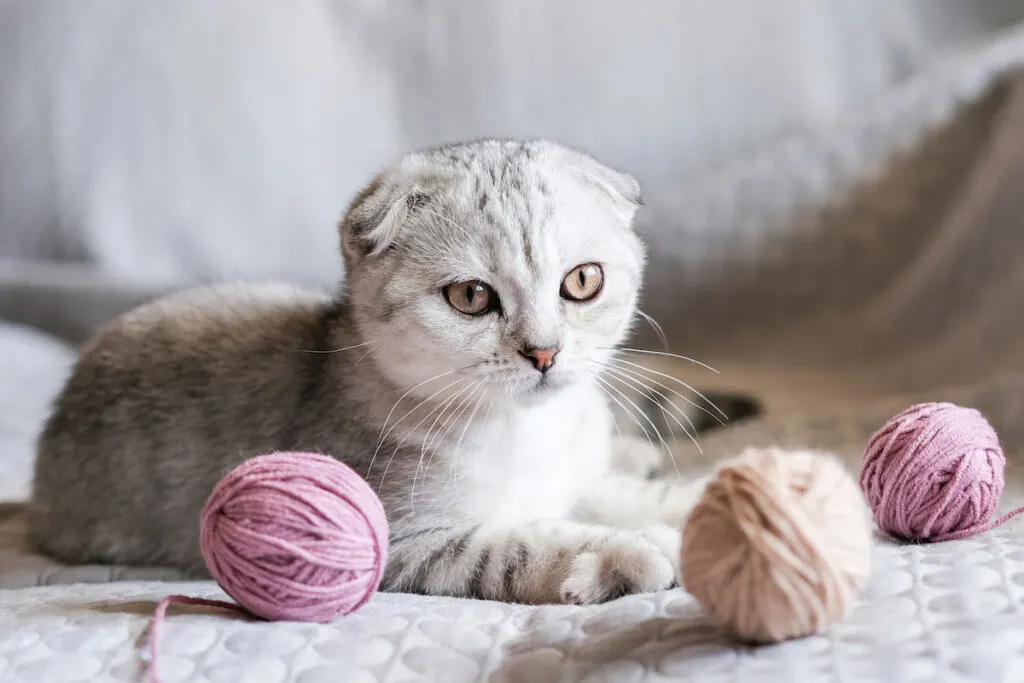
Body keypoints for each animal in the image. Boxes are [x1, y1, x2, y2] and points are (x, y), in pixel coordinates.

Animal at [28, 139, 708, 602]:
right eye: (471, 297)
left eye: (583, 281)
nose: (544, 352)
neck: (529, 430)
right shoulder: (402, 541)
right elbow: (518, 546)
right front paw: (632, 553)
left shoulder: (580, 476)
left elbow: (637, 494)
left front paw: (701, 500)